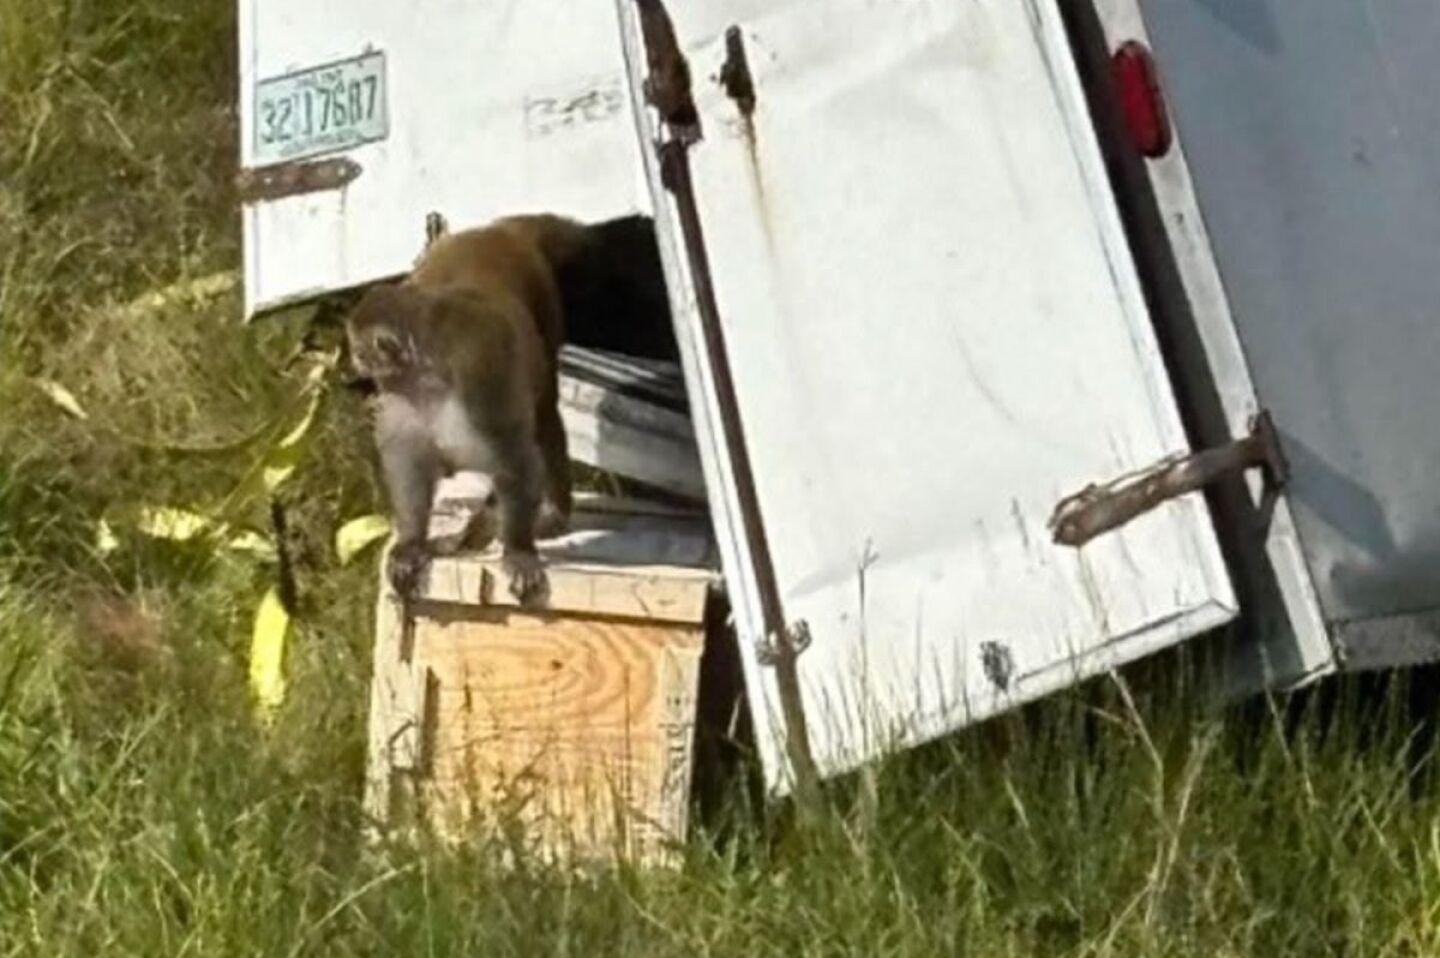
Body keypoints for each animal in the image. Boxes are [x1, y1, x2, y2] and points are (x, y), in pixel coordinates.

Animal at [346, 214, 584, 604]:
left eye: (360, 349)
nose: (355, 361)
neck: (428, 374)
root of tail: (494, 230)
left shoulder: (480, 377)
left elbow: (516, 458)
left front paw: (518, 551)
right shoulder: (401, 396)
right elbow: (409, 461)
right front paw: (412, 543)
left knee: (545, 414)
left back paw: (551, 513)